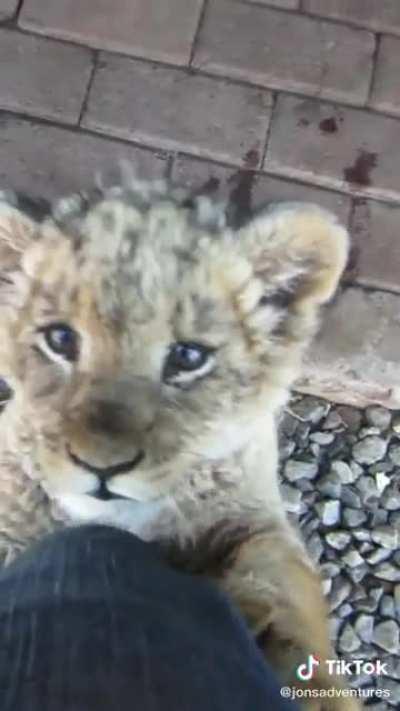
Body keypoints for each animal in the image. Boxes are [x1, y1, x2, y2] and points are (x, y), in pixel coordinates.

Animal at [0, 174, 360, 709]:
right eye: (60, 339)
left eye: (188, 357)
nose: (101, 467)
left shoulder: (252, 517)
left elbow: (286, 587)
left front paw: (317, 693)